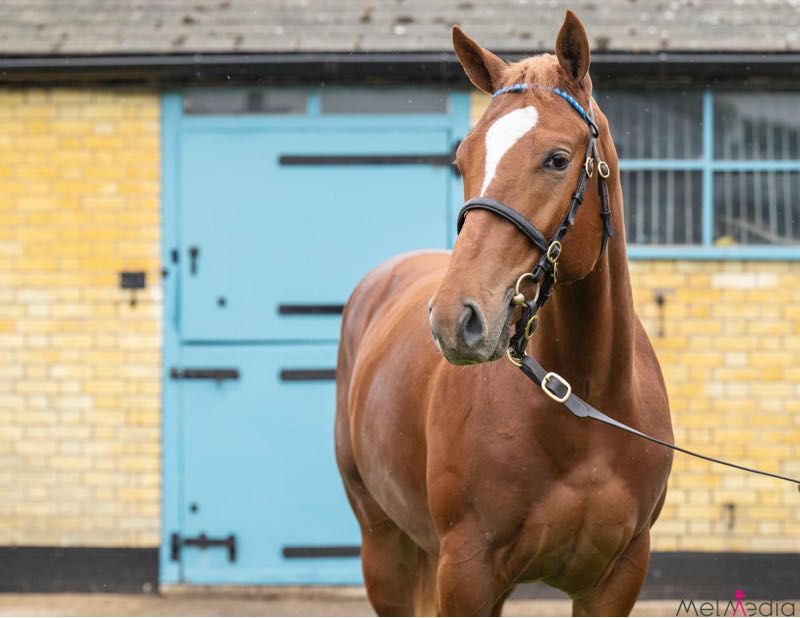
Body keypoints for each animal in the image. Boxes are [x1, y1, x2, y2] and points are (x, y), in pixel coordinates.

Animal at [335, 11, 673, 616]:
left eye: (557, 159)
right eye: (463, 159)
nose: (455, 318)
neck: (584, 409)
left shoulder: (618, 579)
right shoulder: (468, 575)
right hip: (384, 547)